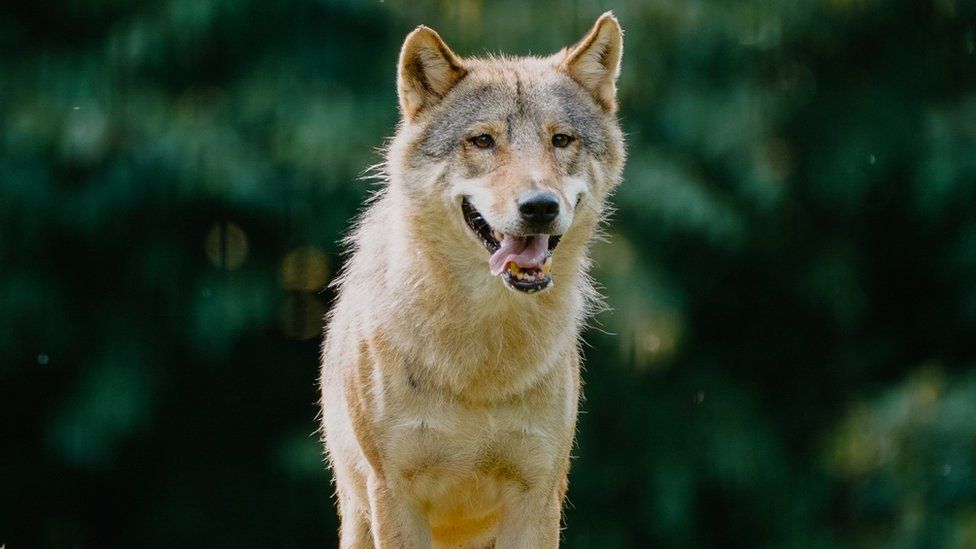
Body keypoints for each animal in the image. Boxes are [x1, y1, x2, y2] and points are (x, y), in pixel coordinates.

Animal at [320, 12, 624, 548]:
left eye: (561, 140)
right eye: (483, 140)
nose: (540, 206)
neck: (481, 360)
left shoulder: (538, 498)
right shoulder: (393, 497)